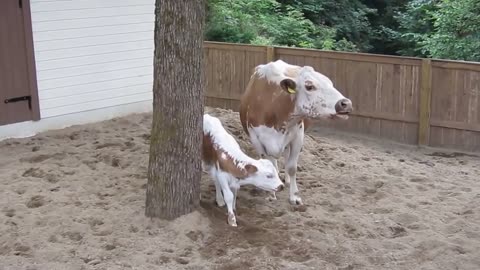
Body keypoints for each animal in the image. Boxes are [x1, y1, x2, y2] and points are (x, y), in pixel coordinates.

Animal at [239, 60, 352, 206]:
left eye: (330, 83)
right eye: (309, 86)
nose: (346, 103)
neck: (274, 107)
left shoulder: (298, 136)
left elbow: (292, 167)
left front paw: (294, 196)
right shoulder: (256, 139)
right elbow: (270, 166)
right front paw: (271, 194)